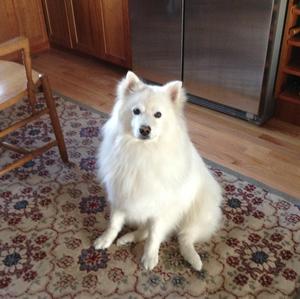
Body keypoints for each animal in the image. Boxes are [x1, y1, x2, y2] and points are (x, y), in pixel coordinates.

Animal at [94, 71, 223, 272]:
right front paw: (106, 239)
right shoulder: (121, 193)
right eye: (136, 111)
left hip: (197, 212)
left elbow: (155, 235)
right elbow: (114, 223)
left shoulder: (162, 207)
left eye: (158, 115)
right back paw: (127, 238)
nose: (145, 129)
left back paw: (194, 260)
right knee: (146, 231)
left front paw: (149, 257)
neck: (142, 151)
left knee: (184, 237)